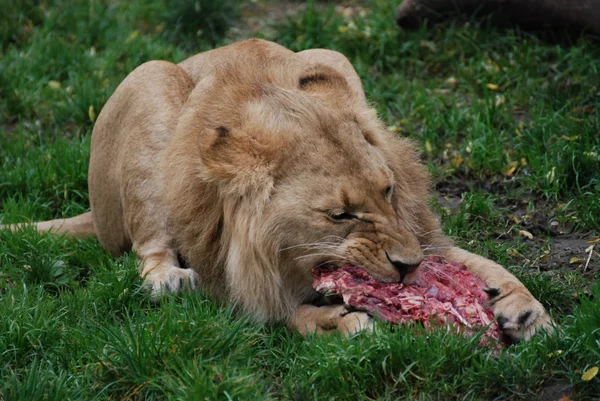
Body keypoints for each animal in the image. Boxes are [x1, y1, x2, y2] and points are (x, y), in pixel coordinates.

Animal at [1, 39, 552, 340]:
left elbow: (476, 259)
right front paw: (342, 323)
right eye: (340, 215)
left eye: (389, 191)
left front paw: (525, 308)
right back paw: (167, 279)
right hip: (151, 80)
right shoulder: (230, 279)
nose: (408, 266)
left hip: (330, 54)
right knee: (148, 245)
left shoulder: (422, 233)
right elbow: (290, 317)